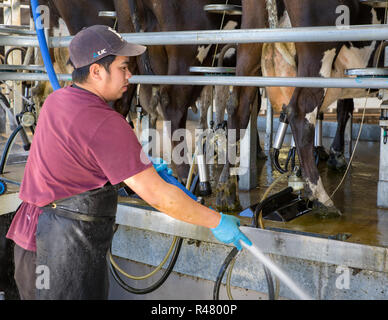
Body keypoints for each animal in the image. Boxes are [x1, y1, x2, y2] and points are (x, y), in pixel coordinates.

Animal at [229, 0, 386, 215]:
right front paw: (337, 155)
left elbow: (344, 107)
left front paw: (336, 154)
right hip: (318, 47)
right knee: (300, 111)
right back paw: (322, 199)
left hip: (250, 42)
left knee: (239, 109)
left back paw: (227, 191)